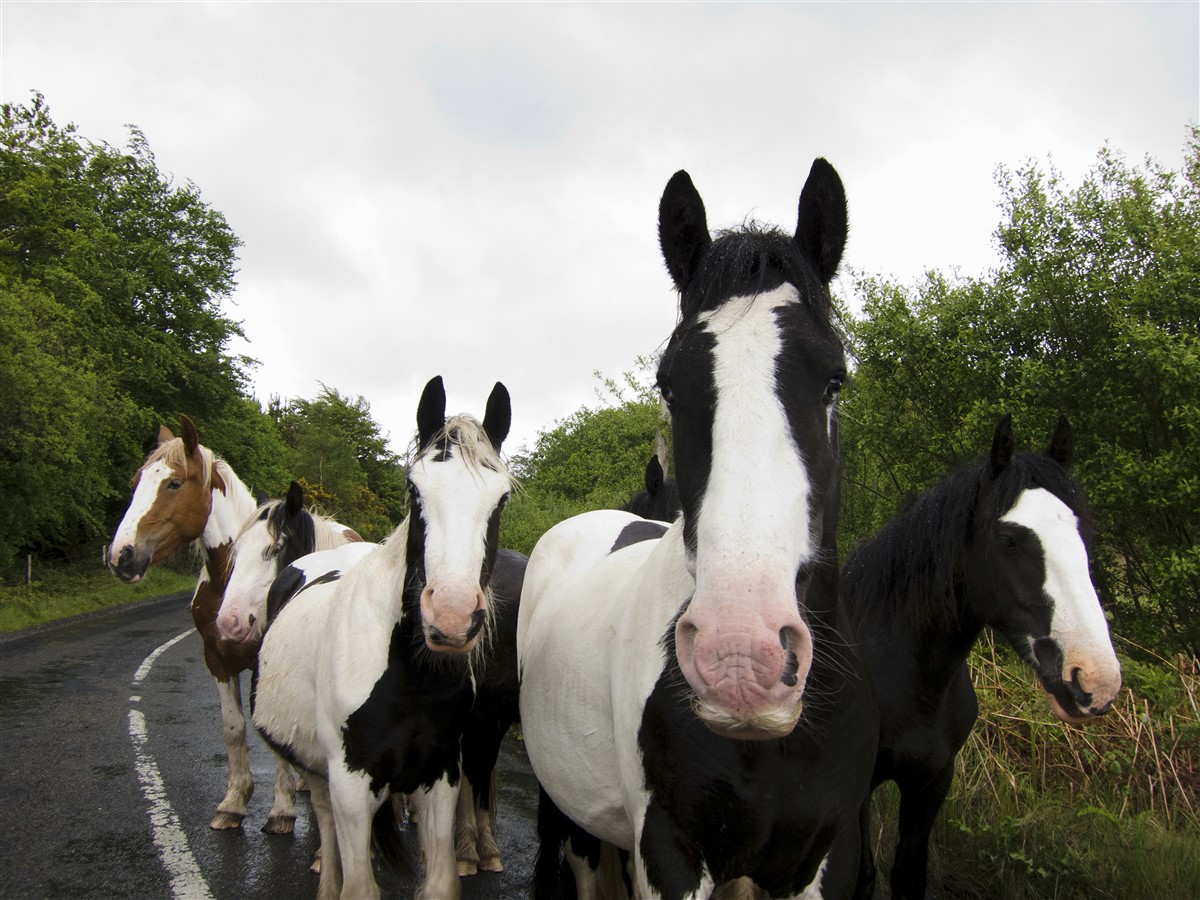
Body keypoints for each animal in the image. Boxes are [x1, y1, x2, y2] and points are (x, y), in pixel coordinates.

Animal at [108, 420, 302, 835]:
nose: (121, 556)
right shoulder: (215, 657)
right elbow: (233, 727)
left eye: (174, 483)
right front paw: (233, 802)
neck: (228, 580)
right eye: (136, 481)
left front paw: (281, 809)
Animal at [250, 374, 513, 900]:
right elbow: (357, 884)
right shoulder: (351, 786)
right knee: (325, 824)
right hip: (321, 772)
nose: (452, 615)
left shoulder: (440, 779)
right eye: (414, 488)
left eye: (502, 498)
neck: (408, 679)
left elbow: (440, 880)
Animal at [825, 415, 1123, 900]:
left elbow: (908, 876)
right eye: (1008, 539)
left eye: (1085, 532)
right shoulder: (855, 792)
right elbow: (862, 878)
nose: (1095, 679)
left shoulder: (932, 781)